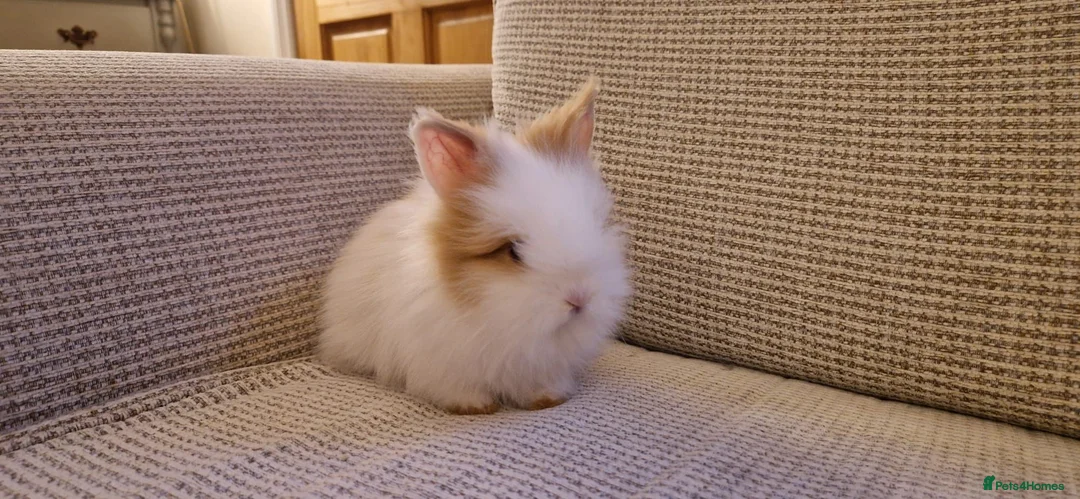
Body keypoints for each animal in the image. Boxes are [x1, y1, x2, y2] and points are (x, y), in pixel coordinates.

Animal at [318, 78, 630, 415]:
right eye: (513, 251)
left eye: (596, 225)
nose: (579, 299)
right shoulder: (441, 363)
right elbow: (459, 389)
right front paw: (477, 407)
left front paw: (547, 400)